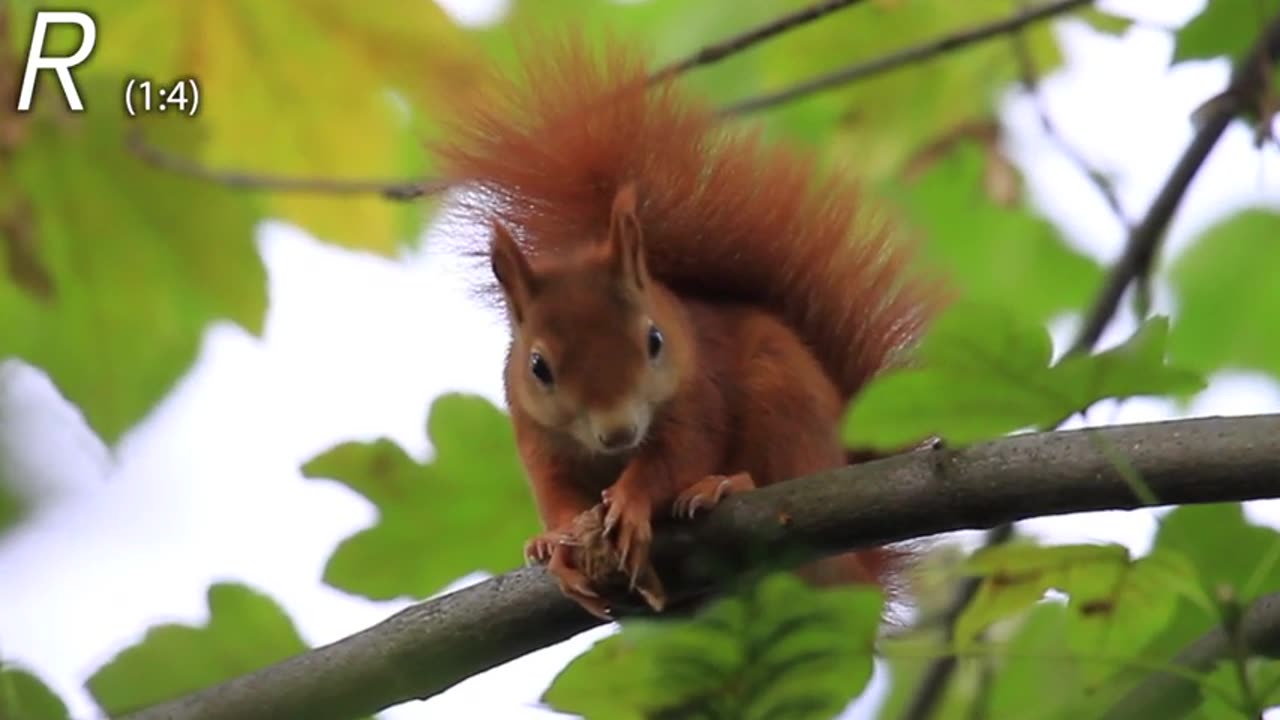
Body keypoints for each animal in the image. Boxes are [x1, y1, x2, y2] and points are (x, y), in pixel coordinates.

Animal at [435, 36, 947, 614]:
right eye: (538, 366)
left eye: (654, 340)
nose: (618, 431)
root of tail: (862, 572)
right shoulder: (535, 436)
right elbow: (555, 492)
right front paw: (556, 543)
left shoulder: (700, 397)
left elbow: (676, 457)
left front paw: (632, 503)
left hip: (786, 406)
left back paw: (727, 485)